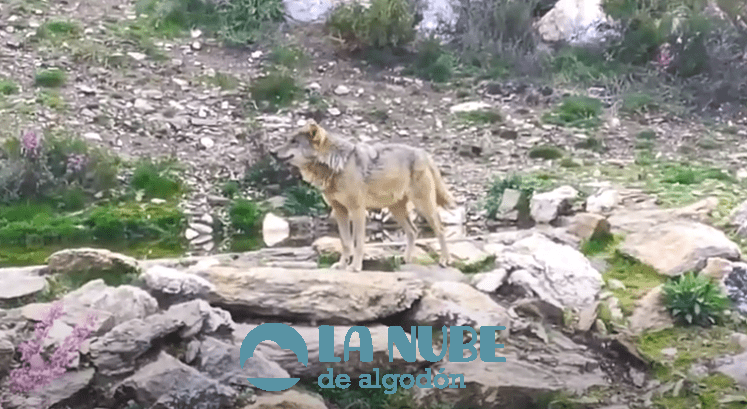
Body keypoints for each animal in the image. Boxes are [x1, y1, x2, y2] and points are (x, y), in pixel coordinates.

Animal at [270, 119, 456, 272]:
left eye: (294, 142)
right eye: (287, 140)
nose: (271, 151)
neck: (337, 165)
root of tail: (424, 153)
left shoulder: (357, 210)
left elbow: (358, 243)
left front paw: (355, 267)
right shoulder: (340, 211)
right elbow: (346, 243)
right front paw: (342, 265)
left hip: (423, 206)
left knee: (440, 229)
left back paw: (445, 260)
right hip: (396, 210)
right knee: (413, 231)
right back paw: (406, 259)